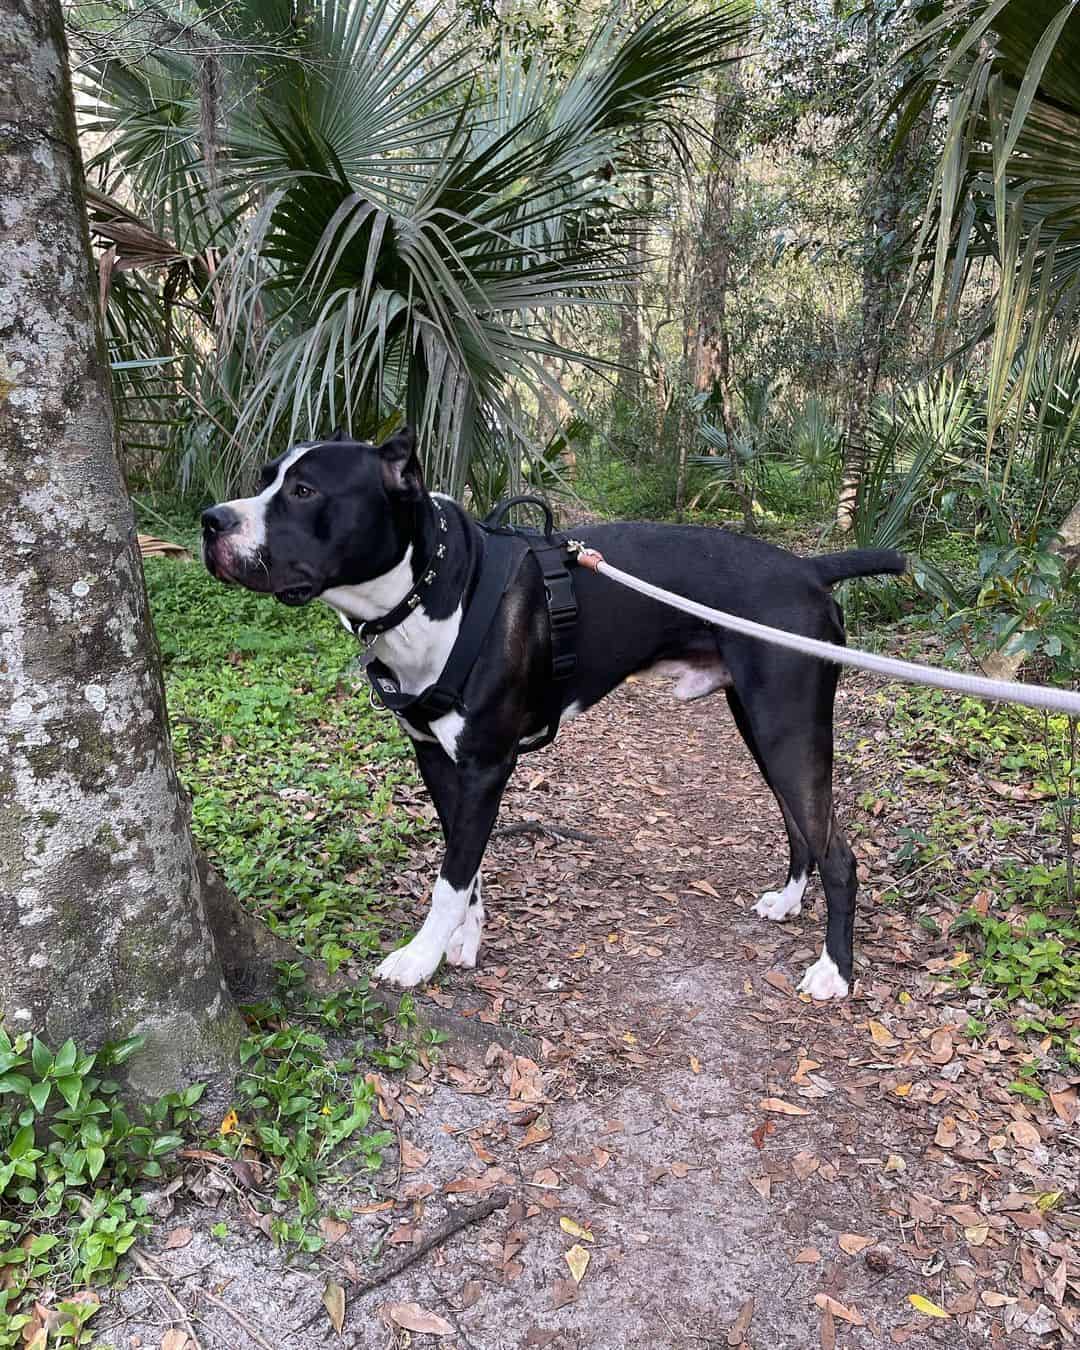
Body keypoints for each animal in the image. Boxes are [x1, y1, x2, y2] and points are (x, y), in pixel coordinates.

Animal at [199, 432, 901, 1004]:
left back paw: (834, 971)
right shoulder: (439, 760)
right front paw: (464, 939)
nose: (211, 521)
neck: (431, 587)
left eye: (304, 491)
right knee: (801, 828)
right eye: (266, 478)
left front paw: (420, 957)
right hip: (761, 726)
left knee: (839, 852)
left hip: (787, 729)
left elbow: (449, 876)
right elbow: (465, 860)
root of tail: (809, 569)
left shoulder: (487, 764)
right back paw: (788, 899)